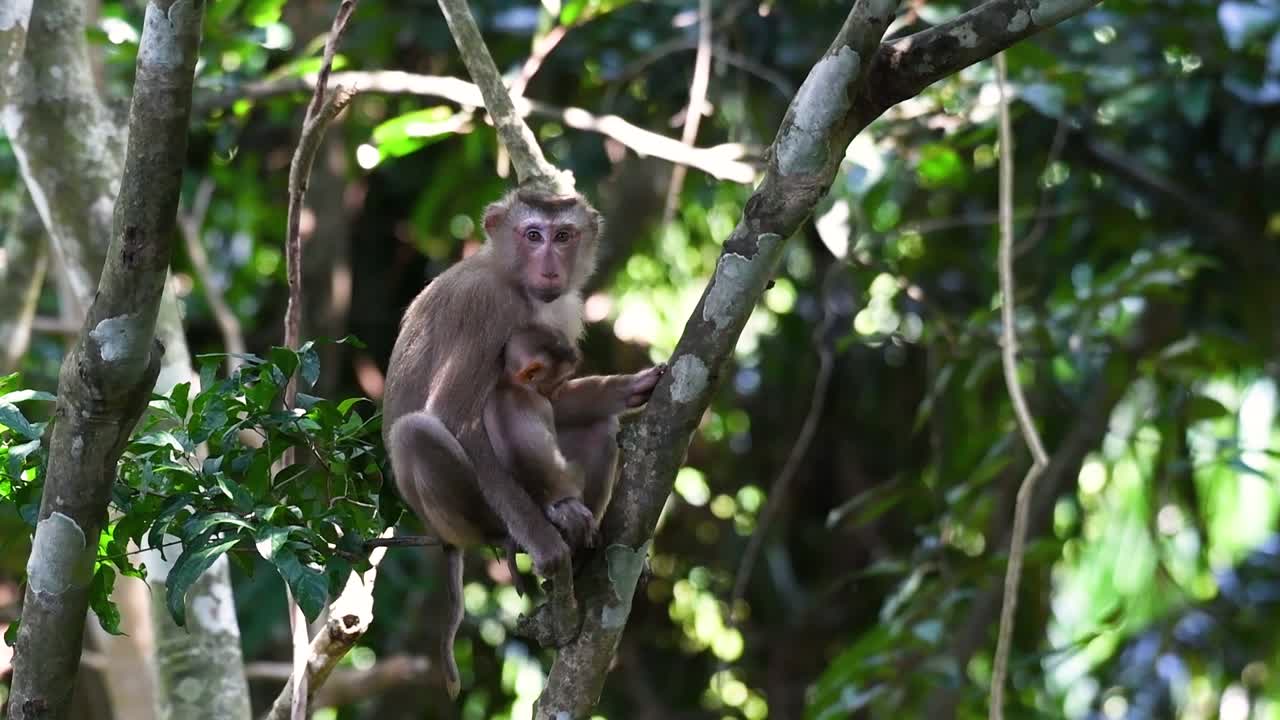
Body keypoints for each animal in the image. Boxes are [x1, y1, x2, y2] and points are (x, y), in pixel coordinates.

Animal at [382, 185, 667, 698]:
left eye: (563, 235)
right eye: (532, 235)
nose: (550, 265)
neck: (515, 281)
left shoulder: (564, 307)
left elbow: (552, 398)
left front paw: (627, 388)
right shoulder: (486, 309)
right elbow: (454, 417)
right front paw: (544, 542)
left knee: (597, 429)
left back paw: (584, 540)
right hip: (467, 515)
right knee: (417, 431)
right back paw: (525, 530)